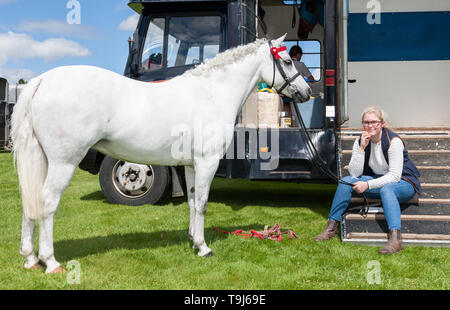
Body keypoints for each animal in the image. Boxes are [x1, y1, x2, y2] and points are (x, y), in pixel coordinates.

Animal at [12, 35, 312, 274]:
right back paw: (50, 262)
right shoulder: (207, 161)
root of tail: (41, 81)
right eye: (287, 61)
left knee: (30, 200)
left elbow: (192, 201)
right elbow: (202, 203)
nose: (307, 91)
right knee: (46, 201)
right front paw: (204, 248)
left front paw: (193, 240)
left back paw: (30, 258)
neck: (211, 93)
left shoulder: (191, 164)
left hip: (42, 159)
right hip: (63, 162)